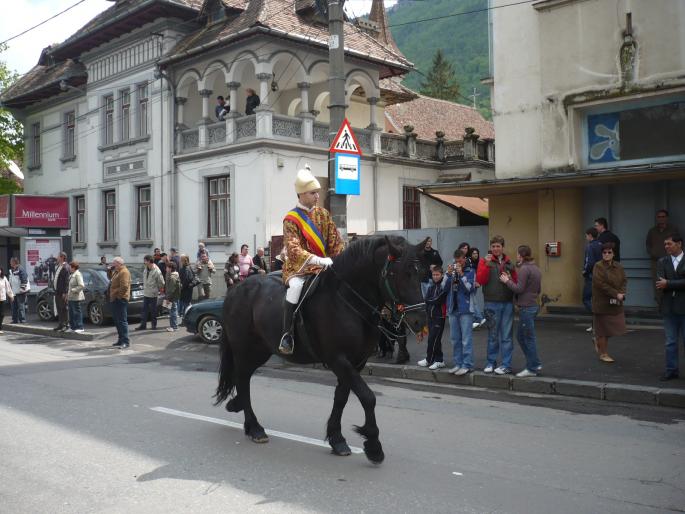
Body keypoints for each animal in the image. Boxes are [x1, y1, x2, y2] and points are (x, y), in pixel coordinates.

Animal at [214, 234, 428, 462]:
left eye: (421, 273)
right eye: (400, 273)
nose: (419, 320)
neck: (348, 301)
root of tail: (236, 289)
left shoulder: (356, 362)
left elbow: (342, 397)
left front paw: (337, 438)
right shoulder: (338, 359)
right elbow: (367, 397)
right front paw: (373, 445)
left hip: (260, 350)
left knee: (243, 378)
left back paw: (240, 411)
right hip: (244, 349)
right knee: (242, 379)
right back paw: (254, 427)